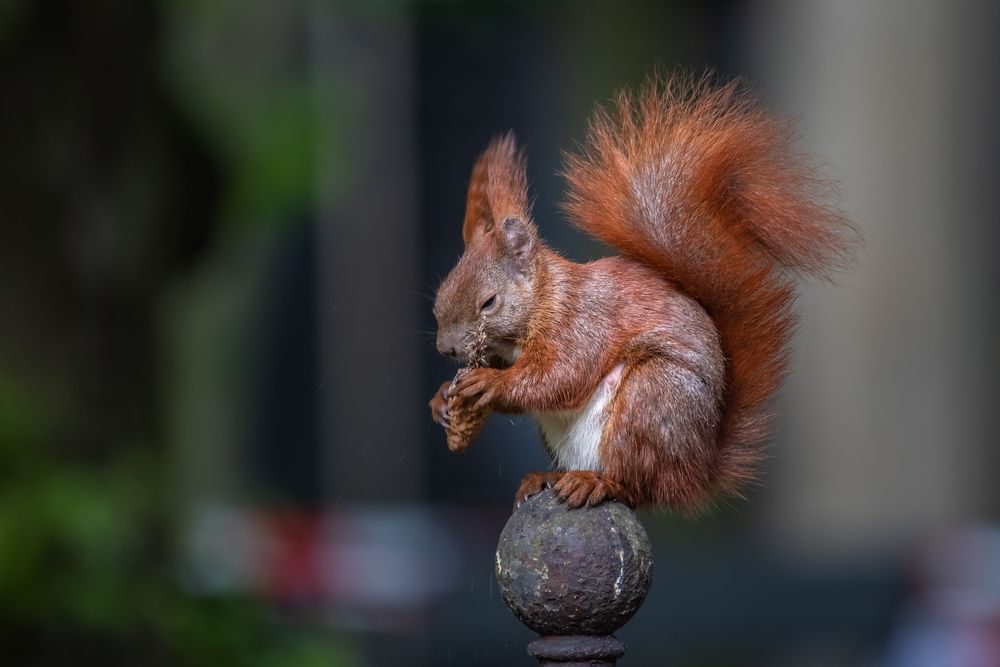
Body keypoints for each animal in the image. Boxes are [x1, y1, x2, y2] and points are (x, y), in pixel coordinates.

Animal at [426, 74, 856, 512]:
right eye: (440, 296)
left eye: (488, 303)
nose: (446, 349)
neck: (545, 298)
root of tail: (694, 472)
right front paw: (442, 399)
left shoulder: (581, 323)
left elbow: (558, 376)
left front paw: (487, 384)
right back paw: (545, 477)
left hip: (649, 401)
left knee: (636, 487)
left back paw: (597, 483)